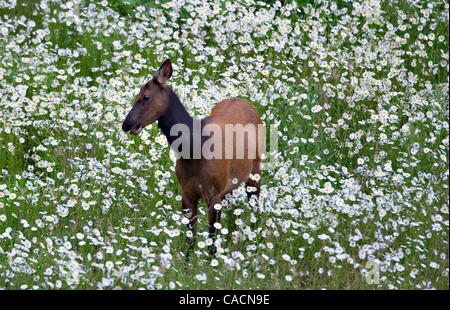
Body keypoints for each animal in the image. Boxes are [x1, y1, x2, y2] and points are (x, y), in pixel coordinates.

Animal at [121, 59, 266, 249]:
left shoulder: (214, 194)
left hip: (255, 171)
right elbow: (190, 241)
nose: (126, 124)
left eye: (145, 96)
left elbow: (211, 244)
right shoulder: (187, 194)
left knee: (256, 208)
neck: (194, 151)